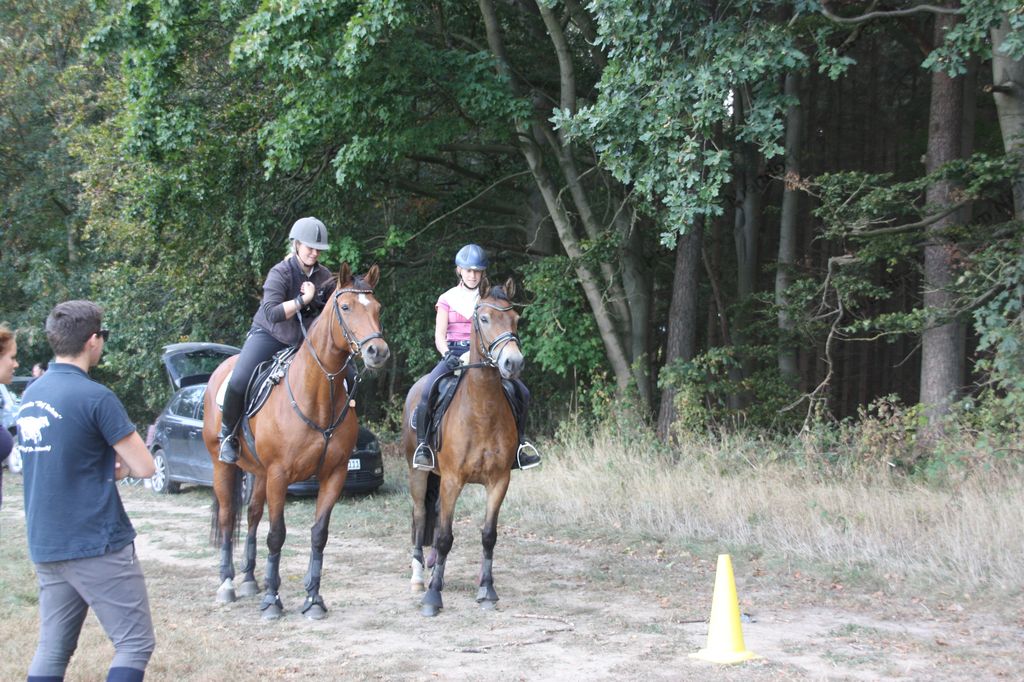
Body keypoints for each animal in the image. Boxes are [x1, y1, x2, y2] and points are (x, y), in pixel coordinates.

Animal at [202, 263, 389, 620]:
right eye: (346, 307)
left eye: (377, 308)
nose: (378, 352)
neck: (316, 393)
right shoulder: (280, 475)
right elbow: (276, 535)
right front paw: (272, 601)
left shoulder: (334, 475)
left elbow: (319, 535)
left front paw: (313, 598)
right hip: (223, 465)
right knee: (229, 515)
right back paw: (227, 584)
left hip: (258, 473)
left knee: (252, 515)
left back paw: (250, 579)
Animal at [401, 279, 524, 617]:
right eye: (483, 318)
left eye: (515, 320)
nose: (513, 363)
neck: (481, 410)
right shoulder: (453, 480)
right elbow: (444, 536)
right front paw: (433, 596)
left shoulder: (499, 481)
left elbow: (489, 536)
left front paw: (487, 589)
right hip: (419, 473)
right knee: (420, 515)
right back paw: (419, 577)